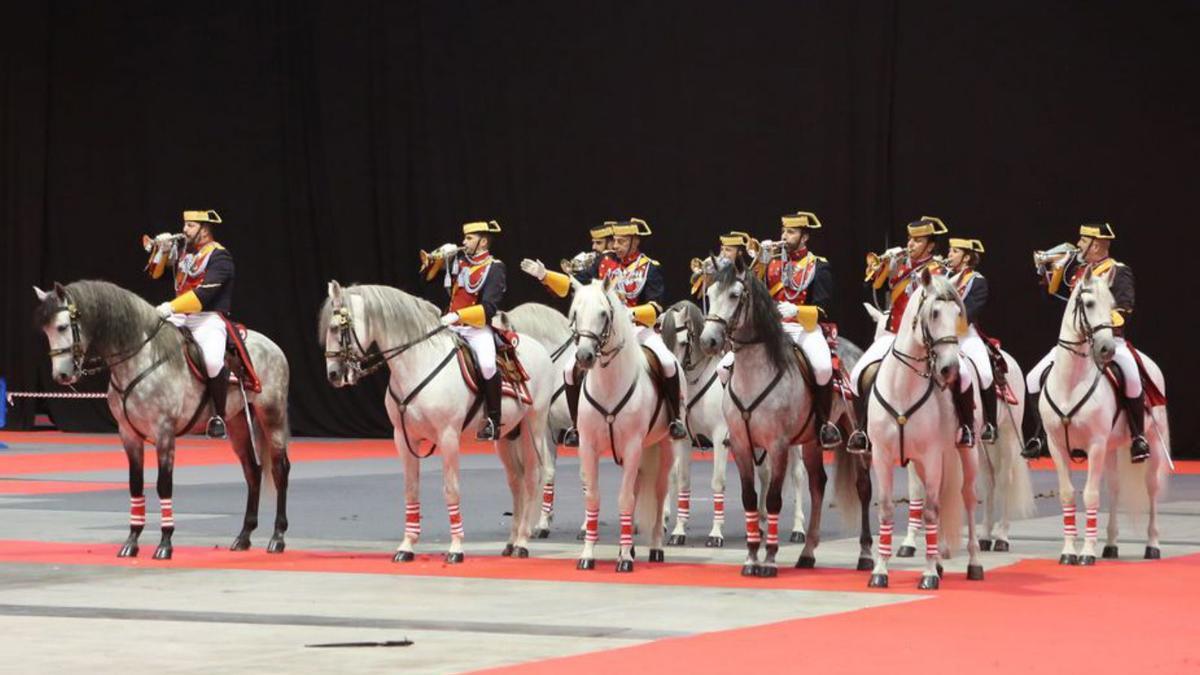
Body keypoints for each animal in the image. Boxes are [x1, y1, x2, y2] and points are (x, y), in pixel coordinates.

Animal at [324, 281, 556, 559]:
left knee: (532, 477)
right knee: (516, 482)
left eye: (337, 327)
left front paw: (456, 548)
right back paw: (511, 542)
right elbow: (411, 489)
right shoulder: (403, 438)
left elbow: (451, 489)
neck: (419, 363)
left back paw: (522, 542)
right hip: (507, 436)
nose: (333, 375)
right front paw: (407, 546)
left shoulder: (448, 436)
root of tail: (538, 347)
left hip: (534, 427)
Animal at [573, 276, 686, 569]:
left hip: (665, 447)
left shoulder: (634, 445)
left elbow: (625, 499)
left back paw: (655, 548)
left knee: (658, 494)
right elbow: (593, 497)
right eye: (576, 313)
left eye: (603, 314)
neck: (610, 384)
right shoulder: (588, 446)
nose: (584, 356)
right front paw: (588, 554)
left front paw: (624, 558)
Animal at [868, 269, 979, 588]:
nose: (950, 369)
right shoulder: (882, 456)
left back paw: (973, 563)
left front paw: (928, 574)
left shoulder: (931, 456)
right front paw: (880, 570)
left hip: (965, 454)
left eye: (958, 313)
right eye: (934, 313)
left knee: (967, 497)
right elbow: (886, 509)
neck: (902, 387)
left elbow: (931, 511)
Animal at [868, 305, 1036, 552]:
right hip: (981, 444)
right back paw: (985, 536)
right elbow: (918, 489)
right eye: (876, 337)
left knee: (1005, 479)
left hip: (1006, 437)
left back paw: (1002, 537)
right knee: (989, 480)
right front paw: (911, 541)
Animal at [1036, 273, 1166, 562]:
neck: (1071, 384)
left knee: (1152, 489)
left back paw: (1152, 545)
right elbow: (1067, 495)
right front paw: (1068, 551)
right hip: (1110, 449)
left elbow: (1091, 495)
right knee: (1115, 489)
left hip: (1151, 442)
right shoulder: (1056, 446)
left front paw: (1086, 553)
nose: (1106, 349)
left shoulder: (1095, 444)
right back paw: (1111, 544)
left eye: (1112, 305)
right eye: (1089, 303)